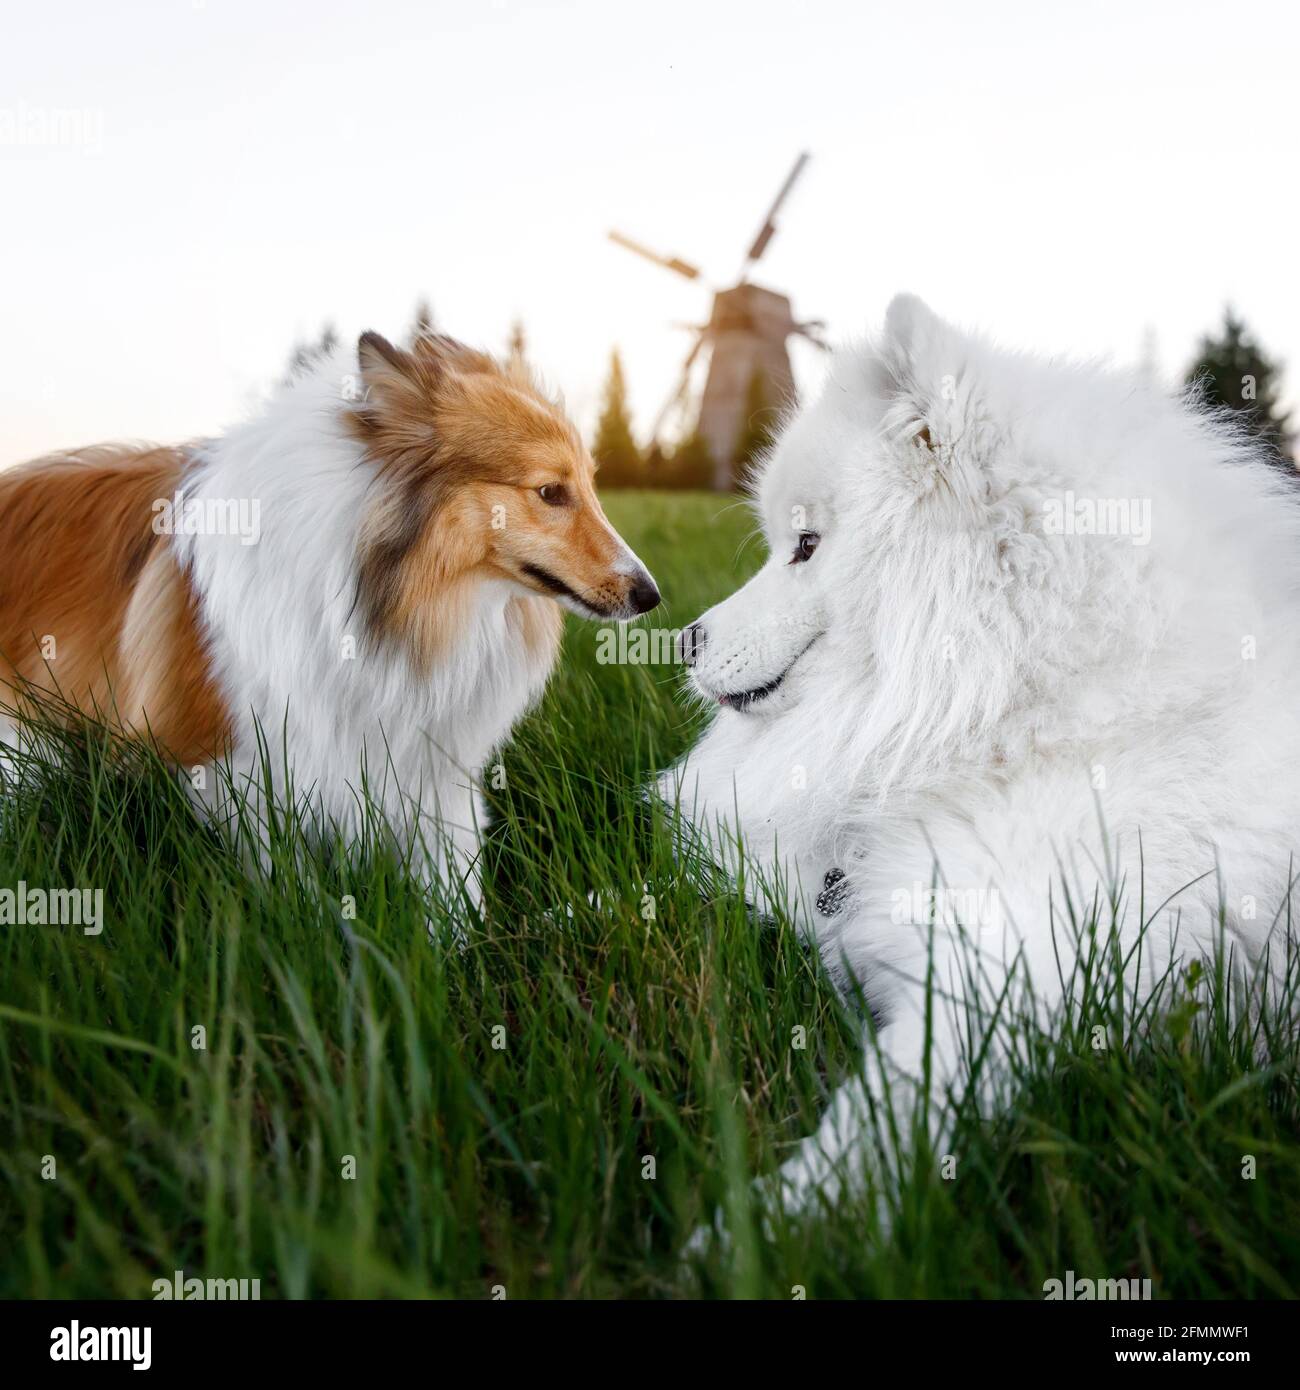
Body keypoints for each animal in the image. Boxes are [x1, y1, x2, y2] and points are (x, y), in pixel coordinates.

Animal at [0, 328, 661, 911]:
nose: (650, 595)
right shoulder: (242, 771)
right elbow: (290, 890)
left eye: (590, 485)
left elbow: (454, 891)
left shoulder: (431, 769)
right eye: (550, 492)